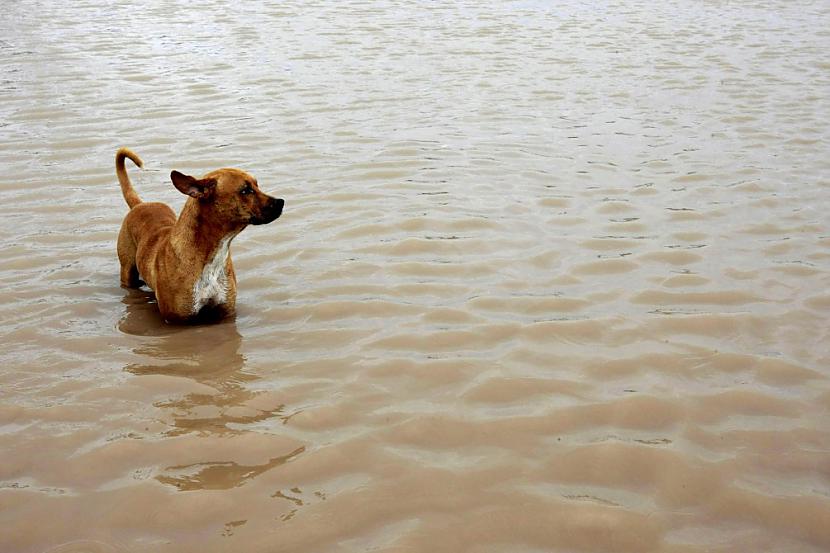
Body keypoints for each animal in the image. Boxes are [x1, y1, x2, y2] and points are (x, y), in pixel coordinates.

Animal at [115, 147, 286, 324]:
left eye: (257, 185)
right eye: (245, 191)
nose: (281, 202)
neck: (211, 257)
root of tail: (140, 204)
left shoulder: (226, 314)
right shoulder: (177, 320)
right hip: (127, 270)